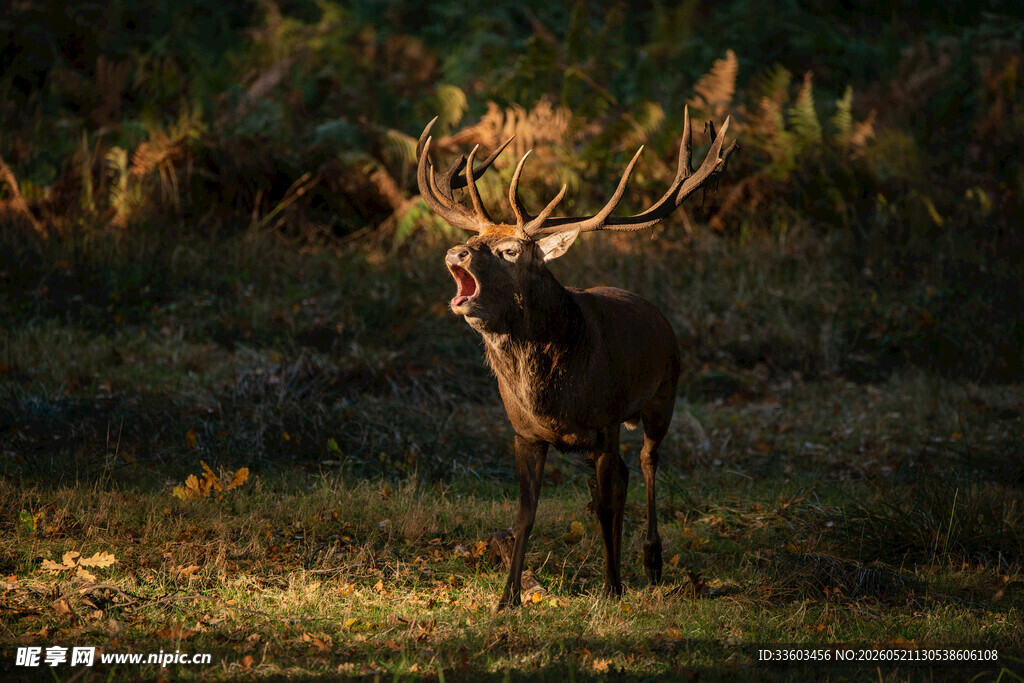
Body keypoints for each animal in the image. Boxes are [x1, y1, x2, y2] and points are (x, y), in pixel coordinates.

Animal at [416, 107, 737, 610]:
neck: (552, 395)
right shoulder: (525, 434)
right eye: (473, 238)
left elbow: (604, 508)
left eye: (510, 251)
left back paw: (651, 561)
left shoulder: (604, 423)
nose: (456, 250)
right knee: (624, 475)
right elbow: (526, 514)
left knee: (647, 462)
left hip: (663, 396)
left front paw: (611, 589)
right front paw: (508, 597)